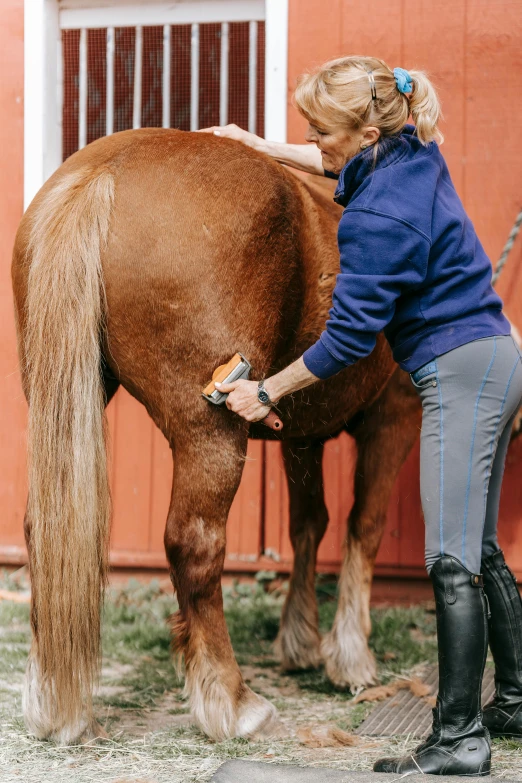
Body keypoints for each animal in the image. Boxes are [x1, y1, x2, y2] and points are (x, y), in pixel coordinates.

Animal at [11, 127, 418, 740]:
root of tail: (106, 169)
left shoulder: (300, 437)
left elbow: (308, 525)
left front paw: (299, 641)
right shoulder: (394, 417)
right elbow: (362, 527)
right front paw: (350, 656)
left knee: (45, 527)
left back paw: (52, 703)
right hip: (211, 434)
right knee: (195, 545)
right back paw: (233, 701)